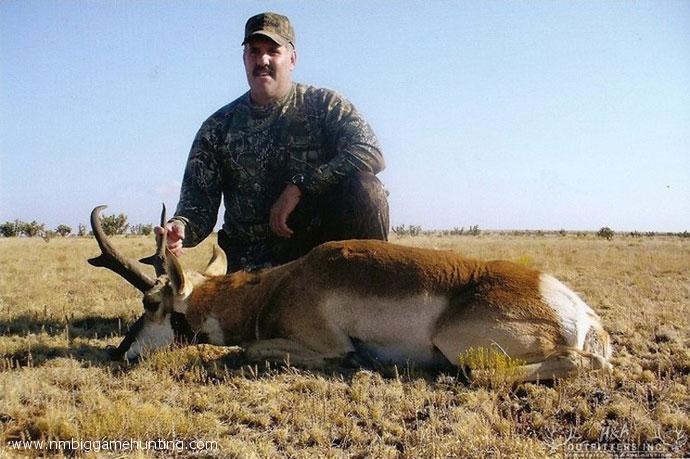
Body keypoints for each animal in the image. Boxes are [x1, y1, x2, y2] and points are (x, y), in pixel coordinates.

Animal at [88, 207, 612, 382]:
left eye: (151, 304)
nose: (119, 352)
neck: (284, 284)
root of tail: (583, 314)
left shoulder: (322, 342)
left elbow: (250, 350)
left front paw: (354, 361)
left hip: (459, 346)